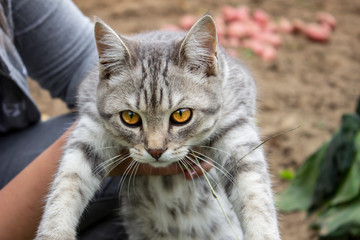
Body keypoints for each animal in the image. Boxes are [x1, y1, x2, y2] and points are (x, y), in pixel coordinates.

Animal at [34, 15, 282, 240]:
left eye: (181, 115)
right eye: (130, 117)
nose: (155, 151)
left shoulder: (236, 124)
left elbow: (255, 192)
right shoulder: (90, 127)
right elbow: (67, 184)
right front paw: (54, 233)